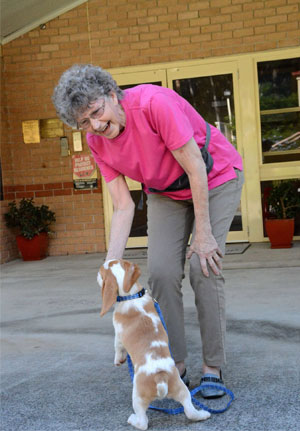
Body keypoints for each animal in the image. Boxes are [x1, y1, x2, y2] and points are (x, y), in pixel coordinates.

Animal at [97, 260, 210, 431]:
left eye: (102, 271)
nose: (97, 272)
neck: (130, 295)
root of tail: (160, 377)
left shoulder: (118, 334)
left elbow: (117, 347)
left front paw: (118, 360)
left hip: (137, 397)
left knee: (143, 423)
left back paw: (133, 419)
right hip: (182, 390)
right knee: (190, 412)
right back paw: (203, 414)